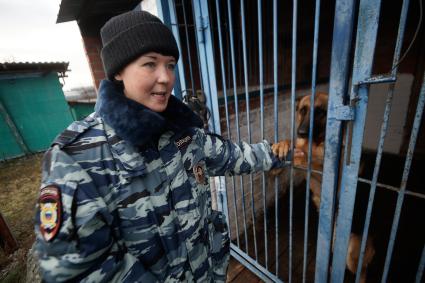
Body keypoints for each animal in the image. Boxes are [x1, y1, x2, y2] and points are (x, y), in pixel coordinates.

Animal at [270, 92, 372, 282]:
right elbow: (289, 147)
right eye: (303, 110)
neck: (315, 143)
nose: (301, 132)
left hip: (351, 253)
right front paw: (281, 147)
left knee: (362, 273)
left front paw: (294, 156)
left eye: (320, 112)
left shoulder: (328, 174)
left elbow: (305, 159)